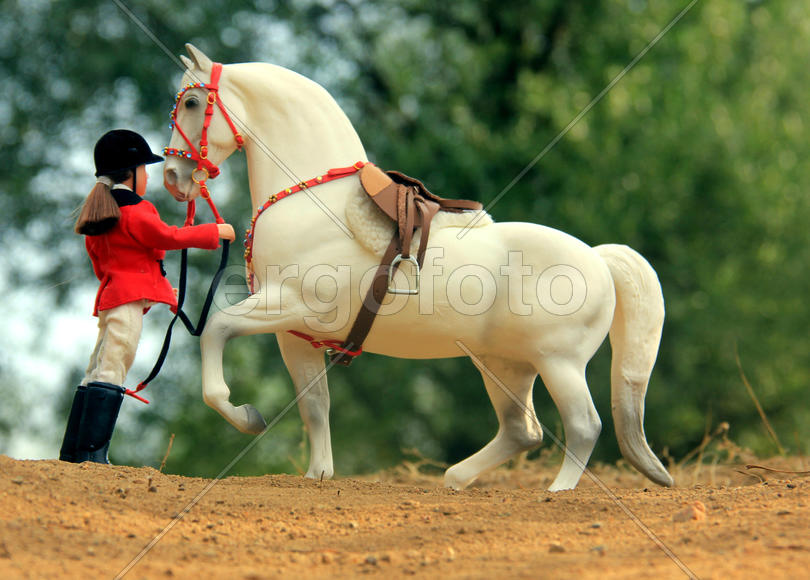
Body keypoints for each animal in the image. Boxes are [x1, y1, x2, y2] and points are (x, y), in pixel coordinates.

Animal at [161, 43, 672, 492]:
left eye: (191, 101)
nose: (172, 177)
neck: (310, 198)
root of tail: (599, 258)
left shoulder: (290, 306)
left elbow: (215, 332)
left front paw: (247, 417)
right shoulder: (294, 334)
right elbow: (315, 405)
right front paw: (318, 476)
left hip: (558, 363)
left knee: (583, 425)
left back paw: (557, 490)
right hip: (506, 365)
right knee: (521, 431)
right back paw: (456, 480)